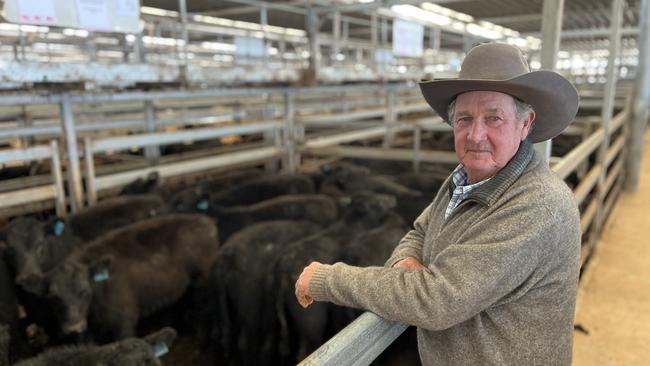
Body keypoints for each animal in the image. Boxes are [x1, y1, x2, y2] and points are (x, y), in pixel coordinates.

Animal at [44, 213, 219, 342]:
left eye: (84, 292)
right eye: (54, 298)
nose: (73, 328)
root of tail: (206, 220)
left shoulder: (123, 323)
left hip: (202, 281)